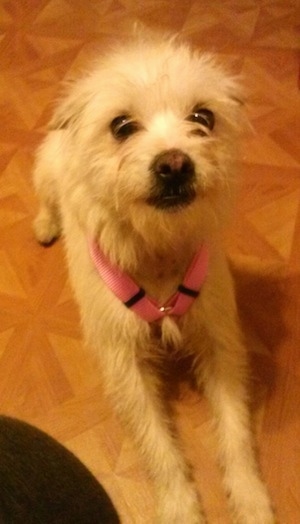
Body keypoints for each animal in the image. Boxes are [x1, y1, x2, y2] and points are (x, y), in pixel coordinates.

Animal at [32, 34, 274, 520]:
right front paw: (181, 508)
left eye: (203, 117)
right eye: (121, 126)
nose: (175, 164)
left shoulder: (219, 341)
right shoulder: (126, 364)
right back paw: (47, 223)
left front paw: (250, 497)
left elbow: (235, 428)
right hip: (46, 170)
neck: (158, 245)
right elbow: (158, 446)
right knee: (47, 198)